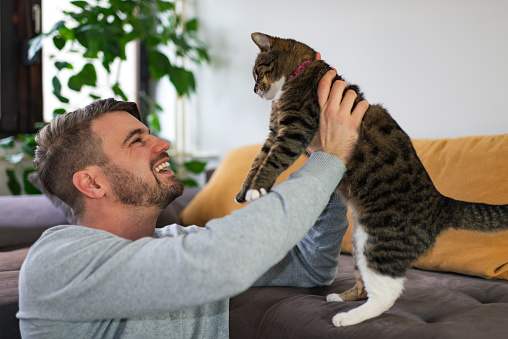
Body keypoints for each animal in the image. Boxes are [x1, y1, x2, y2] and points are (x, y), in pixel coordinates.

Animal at [237, 33, 508, 328]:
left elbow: (272, 160)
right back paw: (341, 298)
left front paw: (256, 189)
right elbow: (257, 160)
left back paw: (346, 318)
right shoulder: (274, 132)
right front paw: (244, 191)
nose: (254, 90)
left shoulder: (294, 128)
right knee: (364, 284)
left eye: (256, 72)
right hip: (360, 242)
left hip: (380, 241)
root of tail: (441, 203)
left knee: (386, 294)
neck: (300, 72)